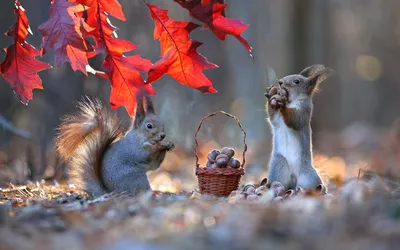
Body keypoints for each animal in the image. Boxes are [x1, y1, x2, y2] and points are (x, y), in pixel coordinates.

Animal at [264, 64, 332, 193]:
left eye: (296, 81)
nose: (280, 82)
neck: (291, 101)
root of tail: (293, 179)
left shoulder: (304, 111)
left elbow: (295, 120)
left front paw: (283, 104)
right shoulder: (276, 119)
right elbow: (272, 116)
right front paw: (271, 94)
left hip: (309, 178)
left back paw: (322, 190)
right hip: (278, 167)